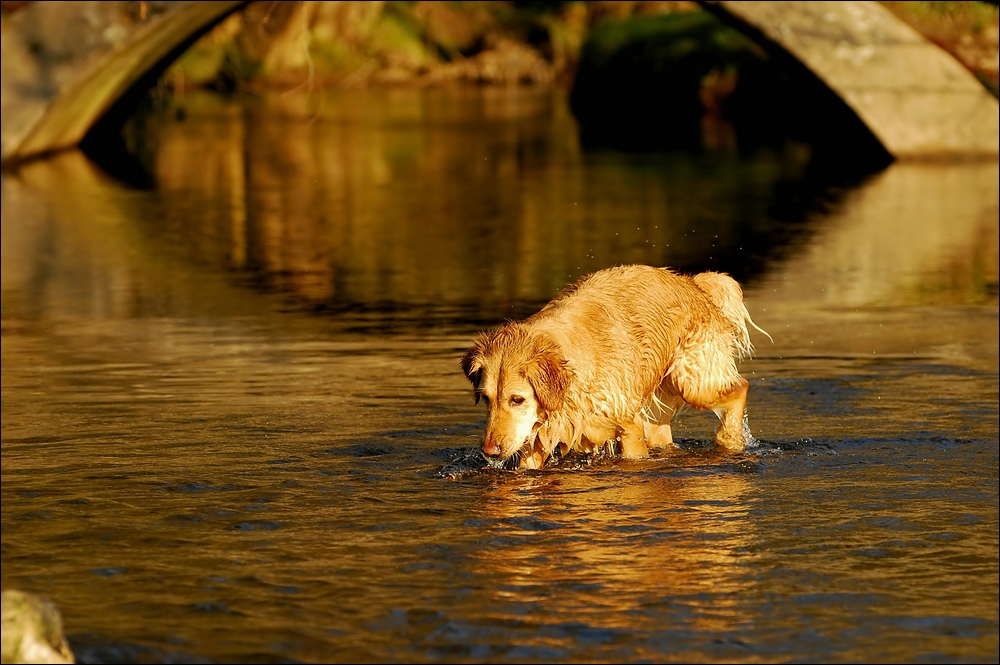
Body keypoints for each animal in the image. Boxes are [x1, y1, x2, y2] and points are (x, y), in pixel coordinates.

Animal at [458, 262, 768, 470]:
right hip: (659, 411)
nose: (490, 451)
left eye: (517, 399)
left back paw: (729, 439)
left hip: (693, 382)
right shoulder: (539, 434)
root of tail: (693, 283)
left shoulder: (627, 424)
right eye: (486, 399)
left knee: (740, 388)